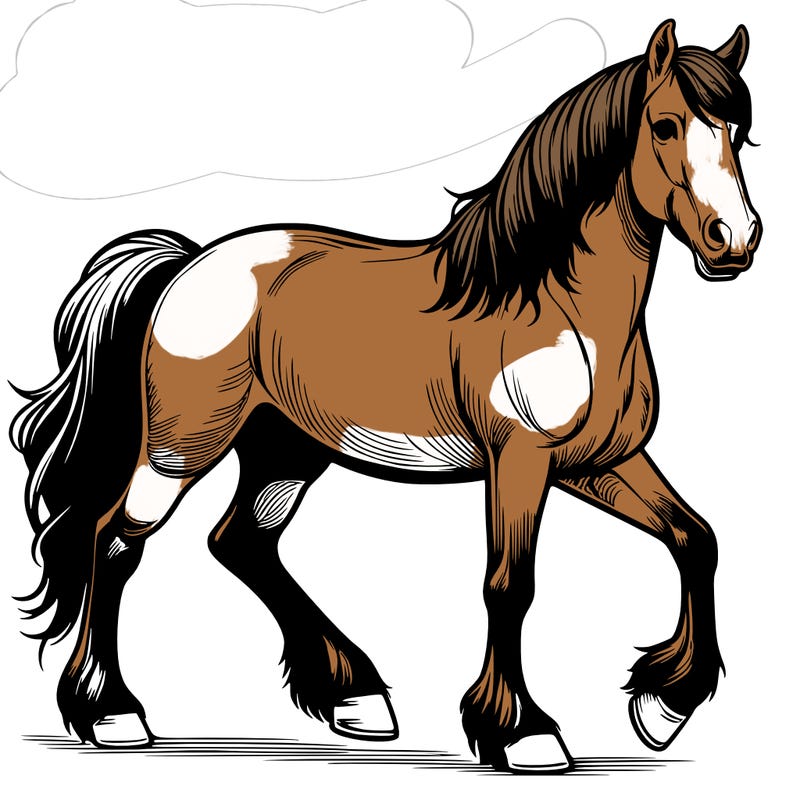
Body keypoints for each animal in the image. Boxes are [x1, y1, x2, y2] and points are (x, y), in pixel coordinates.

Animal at [11, 20, 760, 773]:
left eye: (740, 130)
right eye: (664, 125)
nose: (735, 241)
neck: (556, 306)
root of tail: (189, 264)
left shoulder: (598, 463)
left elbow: (696, 539)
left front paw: (664, 707)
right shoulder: (520, 462)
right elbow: (509, 586)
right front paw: (523, 733)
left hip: (286, 450)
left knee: (241, 542)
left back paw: (355, 698)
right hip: (180, 449)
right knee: (115, 543)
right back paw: (112, 714)